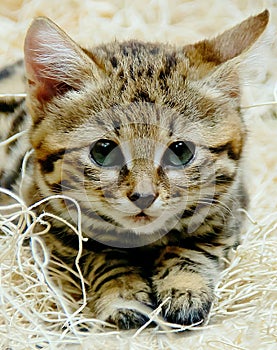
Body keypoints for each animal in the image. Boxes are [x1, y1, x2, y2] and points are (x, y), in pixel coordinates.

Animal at [0, 10, 268, 328]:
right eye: (103, 151)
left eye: (181, 151)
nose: (144, 196)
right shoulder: (45, 219)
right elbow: (99, 255)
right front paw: (123, 294)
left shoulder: (230, 207)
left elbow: (194, 246)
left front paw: (185, 288)